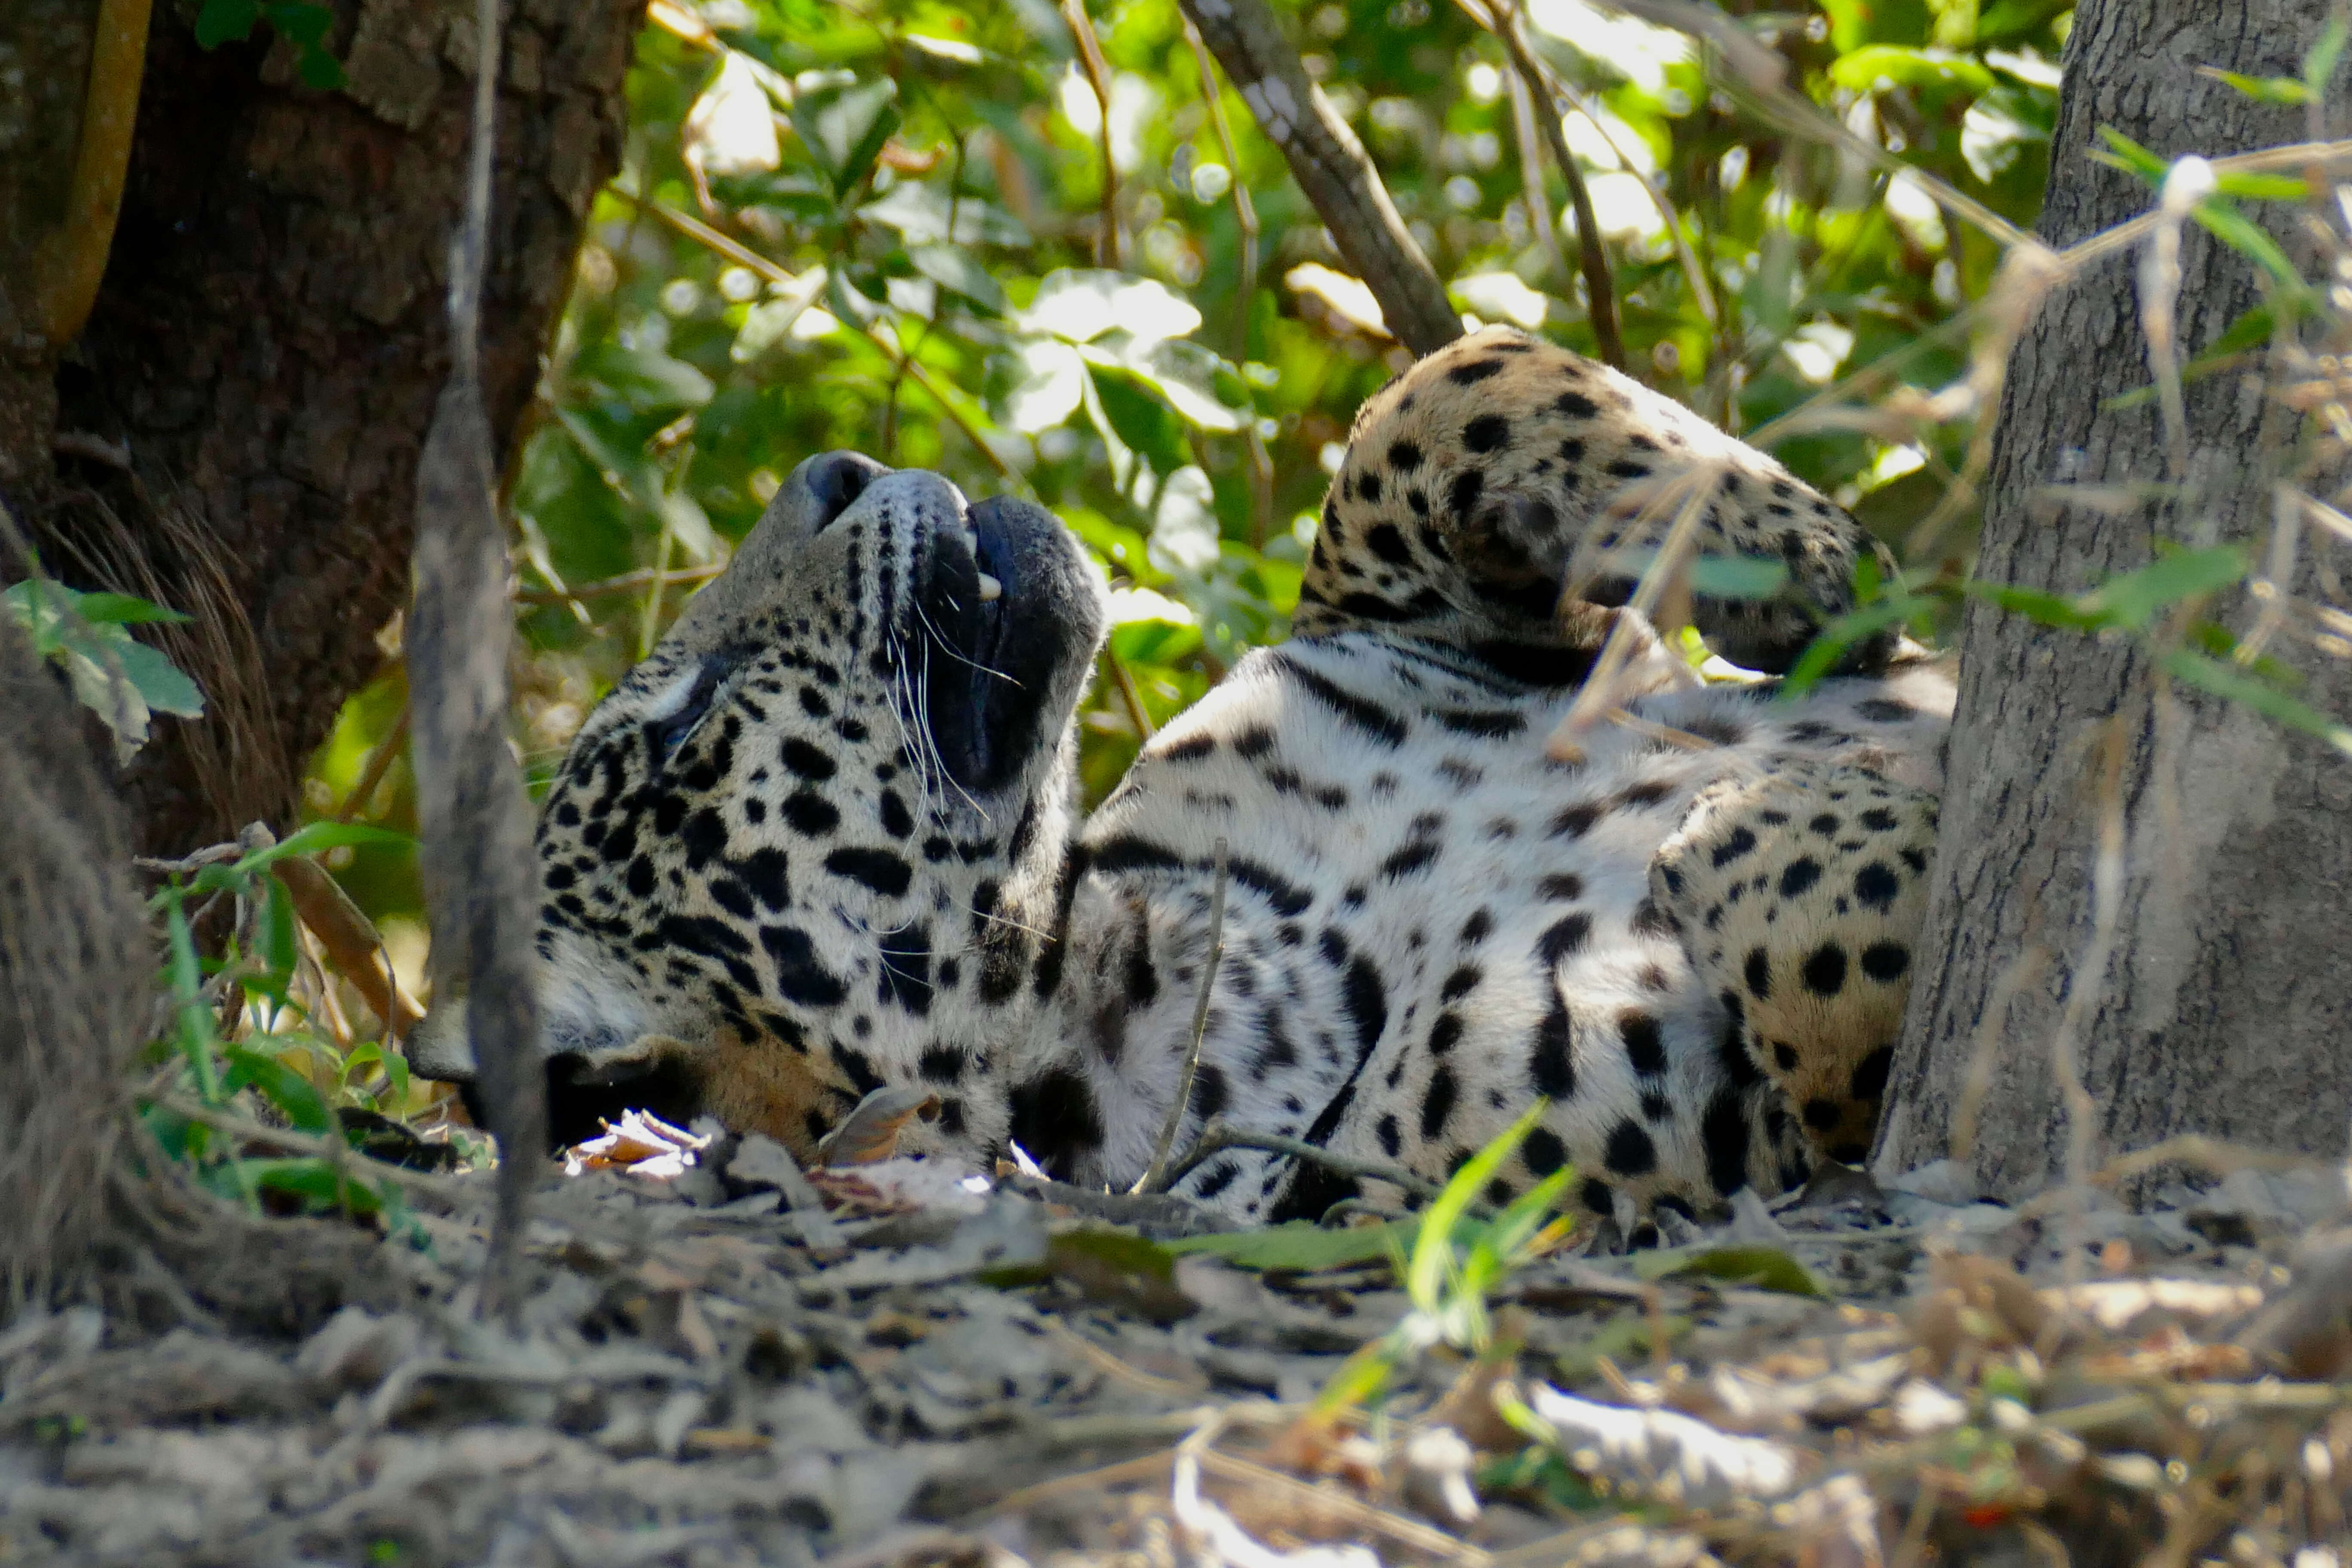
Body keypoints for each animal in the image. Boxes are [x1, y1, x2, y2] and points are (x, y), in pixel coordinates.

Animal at [414, 324, 1957, 1231]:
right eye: (680, 733)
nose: (831, 469)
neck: (1144, 970)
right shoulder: (1701, 1151)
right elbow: (1797, 949)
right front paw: (1789, 806)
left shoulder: (1407, 633)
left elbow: (1441, 390)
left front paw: (1806, 564)